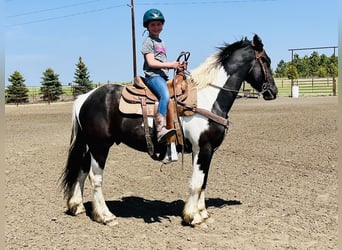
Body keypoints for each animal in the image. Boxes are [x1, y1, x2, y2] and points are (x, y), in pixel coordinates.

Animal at [59, 34, 278, 228]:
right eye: (266, 60)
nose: (273, 92)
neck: (208, 97)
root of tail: (85, 97)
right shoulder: (203, 148)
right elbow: (196, 183)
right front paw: (193, 217)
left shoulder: (205, 151)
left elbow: (203, 181)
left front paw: (202, 213)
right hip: (100, 146)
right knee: (95, 177)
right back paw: (105, 216)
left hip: (90, 145)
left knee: (81, 170)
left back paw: (77, 206)